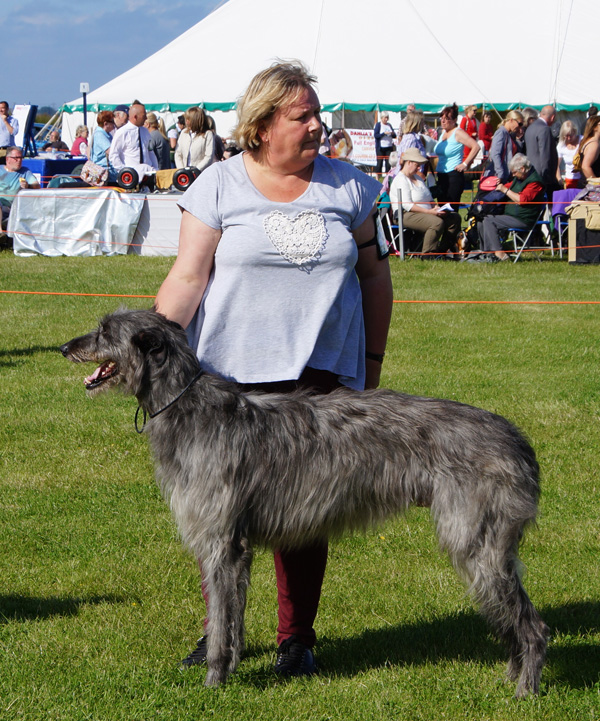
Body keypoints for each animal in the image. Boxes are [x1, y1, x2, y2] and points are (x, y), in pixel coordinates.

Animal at [61, 306, 548, 696]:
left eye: (105, 331)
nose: (65, 347)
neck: (189, 409)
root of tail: (517, 440)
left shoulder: (222, 542)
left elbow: (220, 620)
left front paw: (214, 681)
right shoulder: (234, 546)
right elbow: (230, 618)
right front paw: (229, 668)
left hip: (475, 539)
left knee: (532, 624)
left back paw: (525, 689)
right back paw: (512, 675)